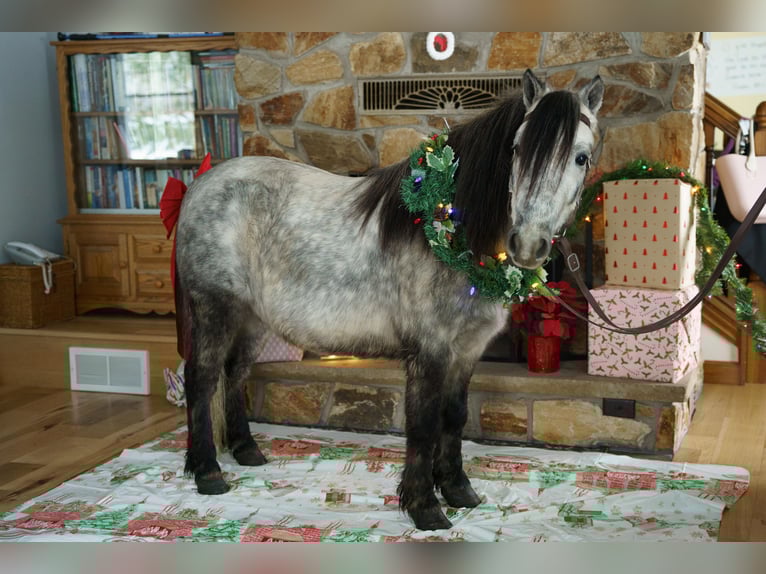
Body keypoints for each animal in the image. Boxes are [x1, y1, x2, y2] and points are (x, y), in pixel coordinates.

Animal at [173, 69, 604, 531]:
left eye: (581, 157)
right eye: (517, 148)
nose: (527, 243)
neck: (449, 229)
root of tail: (200, 186)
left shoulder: (468, 349)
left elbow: (454, 415)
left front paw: (458, 490)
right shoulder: (430, 349)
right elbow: (423, 424)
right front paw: (425, 507)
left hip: (251, 317)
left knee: (234, 373)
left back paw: (246, 451)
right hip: (216, 306)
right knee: (202, 378)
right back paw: (208, 472)